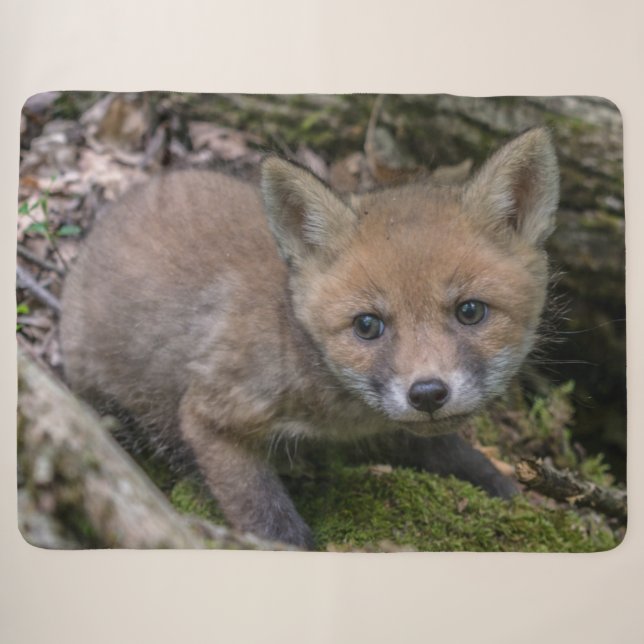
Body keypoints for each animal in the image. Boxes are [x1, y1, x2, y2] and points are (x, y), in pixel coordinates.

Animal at [60, 127, 559, 549]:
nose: (428, 394)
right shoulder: (210, 415)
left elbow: (453, 451)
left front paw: (506, 488)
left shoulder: (398, 428)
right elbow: (269, 519)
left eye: (470, 311)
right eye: (367, 325)